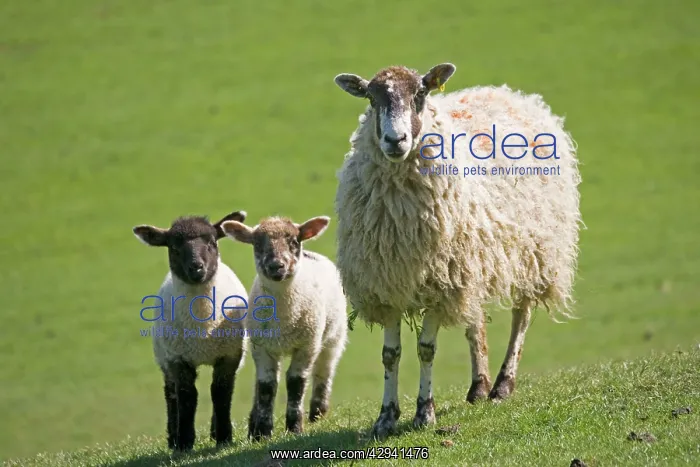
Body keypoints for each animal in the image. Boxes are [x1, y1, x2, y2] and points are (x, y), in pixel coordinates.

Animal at [133, 210, 249, 451]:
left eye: (212, 243)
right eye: (174, 248)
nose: (196, 268)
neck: (203, 325)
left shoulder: (229, 356)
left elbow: (220, 392)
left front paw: (224, 437)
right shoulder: (178, 359)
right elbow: (187, 396)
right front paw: (185, 442)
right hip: (164, 355)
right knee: (171, 394)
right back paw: (173, 438)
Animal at [221, 215, 348, 440]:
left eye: (294, 241)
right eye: (257, 244)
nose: (276, 266)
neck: (285, 317)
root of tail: (312, 254)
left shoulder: (307, 345)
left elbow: (296, 382)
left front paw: (295, 427)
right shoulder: (261, 347)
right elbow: (266, 386)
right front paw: (262, 432)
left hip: (334, 336)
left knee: (324, 370)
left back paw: (317, 413)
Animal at [333, 62, 582, 439]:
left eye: (420, 94)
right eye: (371, 99)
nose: (395, 140)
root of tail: (509, 93)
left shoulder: (440, 284)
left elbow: (426, 349)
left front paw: (425, 413)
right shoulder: (387, 283)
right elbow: (390, 354)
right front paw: (386, 417)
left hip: (534, 252)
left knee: (521, 316)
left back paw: (503, 385)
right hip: (471, 261)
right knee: (474, 321)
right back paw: (479, 386)